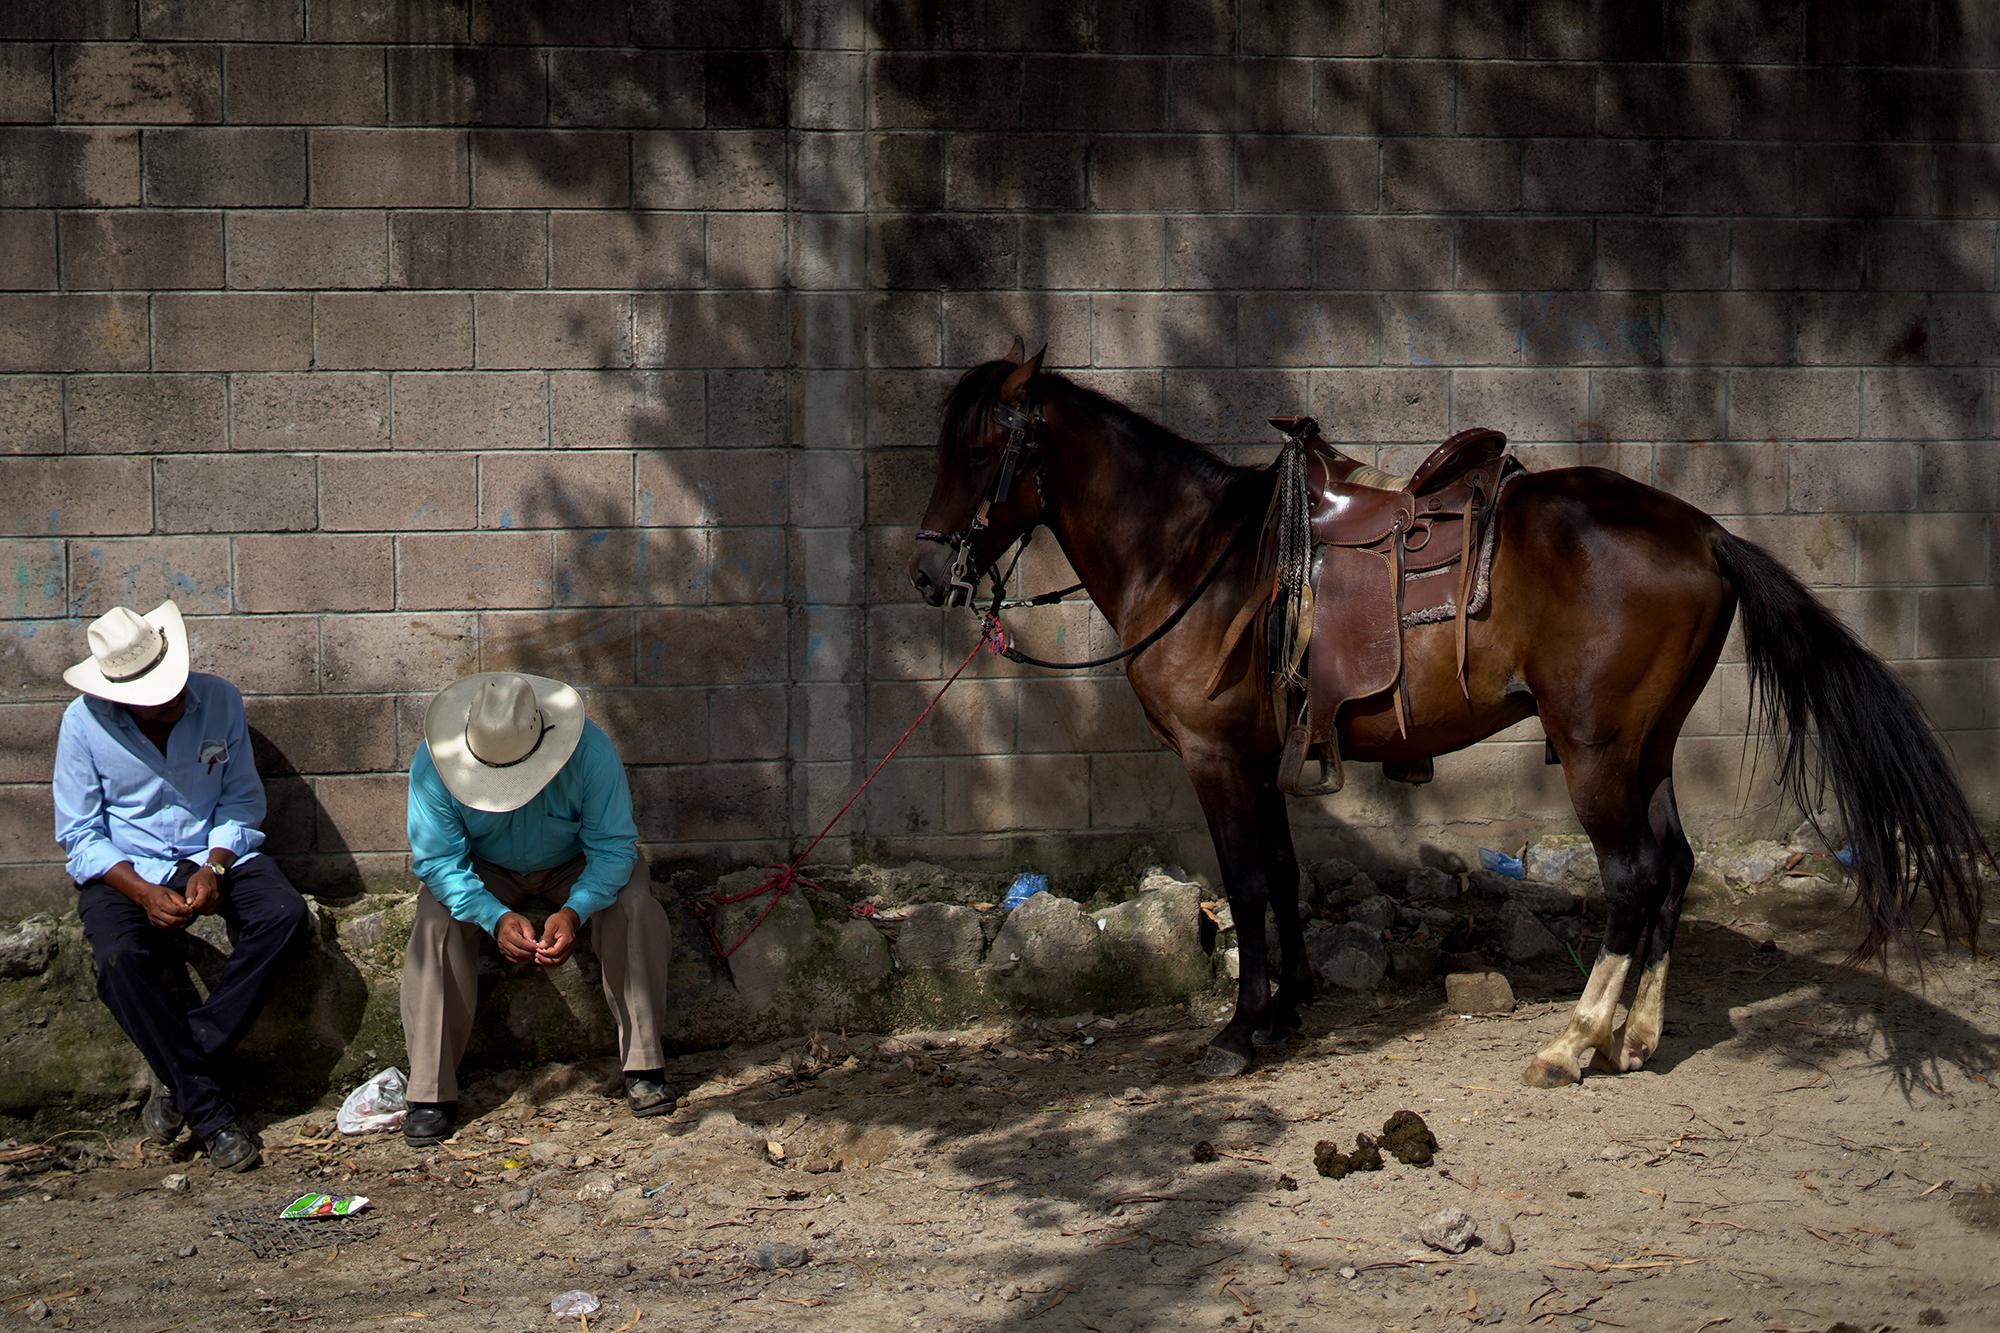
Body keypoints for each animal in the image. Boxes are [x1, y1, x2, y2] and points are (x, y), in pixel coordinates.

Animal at [916, 342, 1992, 1080]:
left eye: (980, 447)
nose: (929, 574)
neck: (1197, 558)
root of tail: (1702, 531)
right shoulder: (1258, 756)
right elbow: (1280, 872)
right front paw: (1289, 1010)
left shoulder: (1212, 756)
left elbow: (1249, 883)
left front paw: (1241, 1028)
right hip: (1646, 742)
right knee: (1675, 865)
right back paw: (1636, 1035)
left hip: (1594, 746)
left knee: (1633, 875)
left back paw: (1573, 1041)